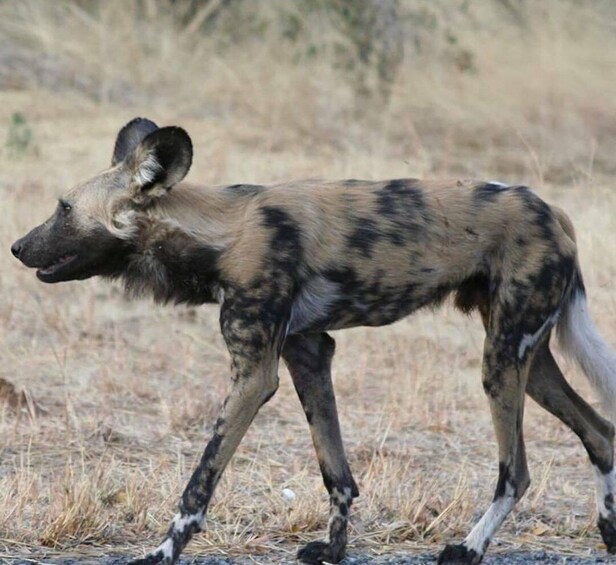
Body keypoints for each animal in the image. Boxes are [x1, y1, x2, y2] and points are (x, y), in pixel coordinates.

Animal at [10, 117, 616, 560]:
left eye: (64, 208)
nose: (16, 246)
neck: (222, 235)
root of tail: (554, 211)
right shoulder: (309, 354)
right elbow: (337, 474)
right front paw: (333, 550)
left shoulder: (254, 376)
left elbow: (199, 483)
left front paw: (162, 553)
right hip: (525, 362)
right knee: (601, 433)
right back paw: (608, 532)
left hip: (502, 362)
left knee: (516, 473)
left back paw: (469, 548)